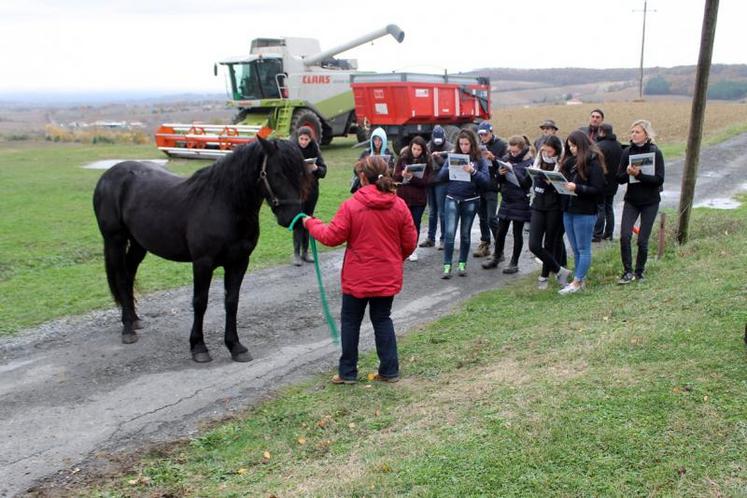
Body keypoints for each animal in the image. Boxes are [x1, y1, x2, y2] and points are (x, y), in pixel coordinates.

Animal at [93, 138, 310, 364]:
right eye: (277, 173)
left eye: (301, 173)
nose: (294, 218)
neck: (224, 205)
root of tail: (109, 175)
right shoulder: (202, 263)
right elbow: (200, 302)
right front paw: (198, 347)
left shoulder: (239, 262)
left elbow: (232, 302)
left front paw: (235, 346)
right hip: (115, 240)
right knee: (120, 278)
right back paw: (128, 329)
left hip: (138, 244)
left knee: (128, 277)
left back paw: (135, 320)